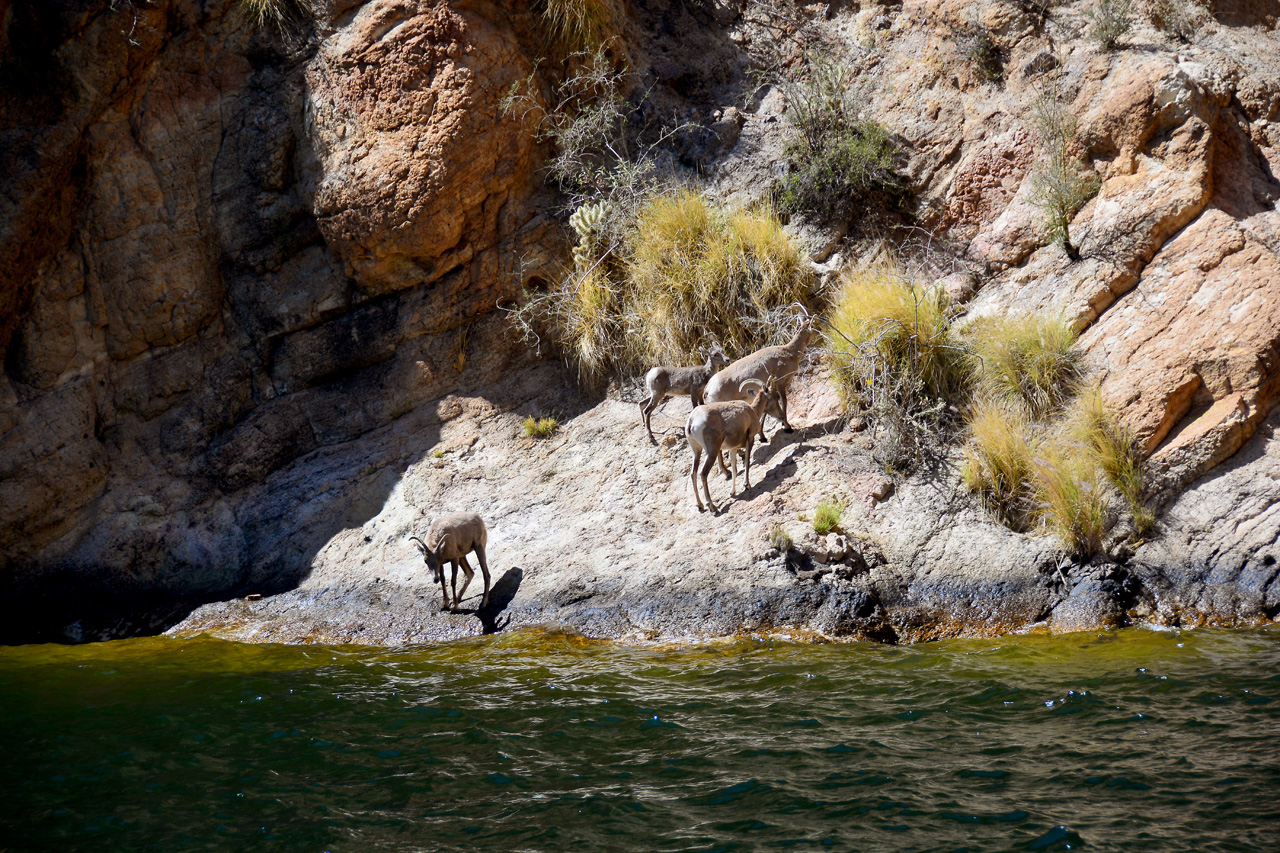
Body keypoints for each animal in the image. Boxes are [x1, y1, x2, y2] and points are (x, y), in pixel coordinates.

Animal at [686, 379, 783, 512]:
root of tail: (691, 422)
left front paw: (732, 492)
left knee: (693, 474)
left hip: (697, 451)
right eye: (776, 396)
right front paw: (747, 485)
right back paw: (712, 506)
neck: (752, 411)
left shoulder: (732, 449)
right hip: (711, 451)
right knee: (703, 473)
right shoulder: (750, 439)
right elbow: (747, 462)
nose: (781, 416)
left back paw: (700, 506)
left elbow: (735, 469)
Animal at [701, 313, 819, 445]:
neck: (789, 353)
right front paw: (787, 427)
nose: (821, 331)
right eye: (815, 325)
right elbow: (784, 402)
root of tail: (707, 390)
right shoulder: (780, 383)